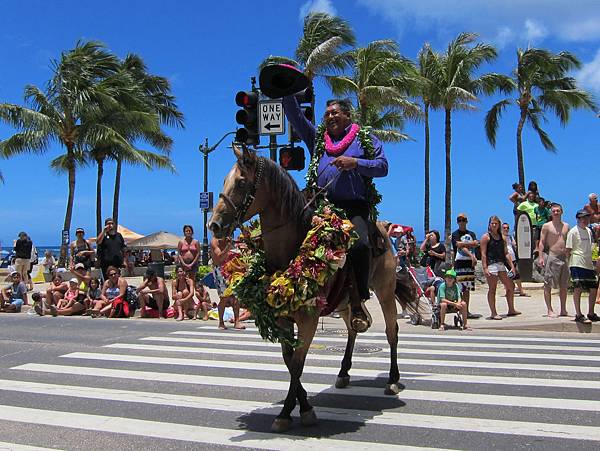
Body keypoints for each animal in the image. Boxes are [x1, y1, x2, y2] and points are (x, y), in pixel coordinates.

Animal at [209, 145, 400, 434]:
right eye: (223, 181)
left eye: (241, 182)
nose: (214, 225)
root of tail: (382, 230)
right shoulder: (282, 318)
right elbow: (289, 361)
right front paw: (302, 406)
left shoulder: (308, 320)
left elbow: (298, 363)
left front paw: (291, 413)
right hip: (346, 302)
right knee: (352, 330)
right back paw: (343, 373)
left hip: (385, 291)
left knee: (391, 332)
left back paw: (392, 379)